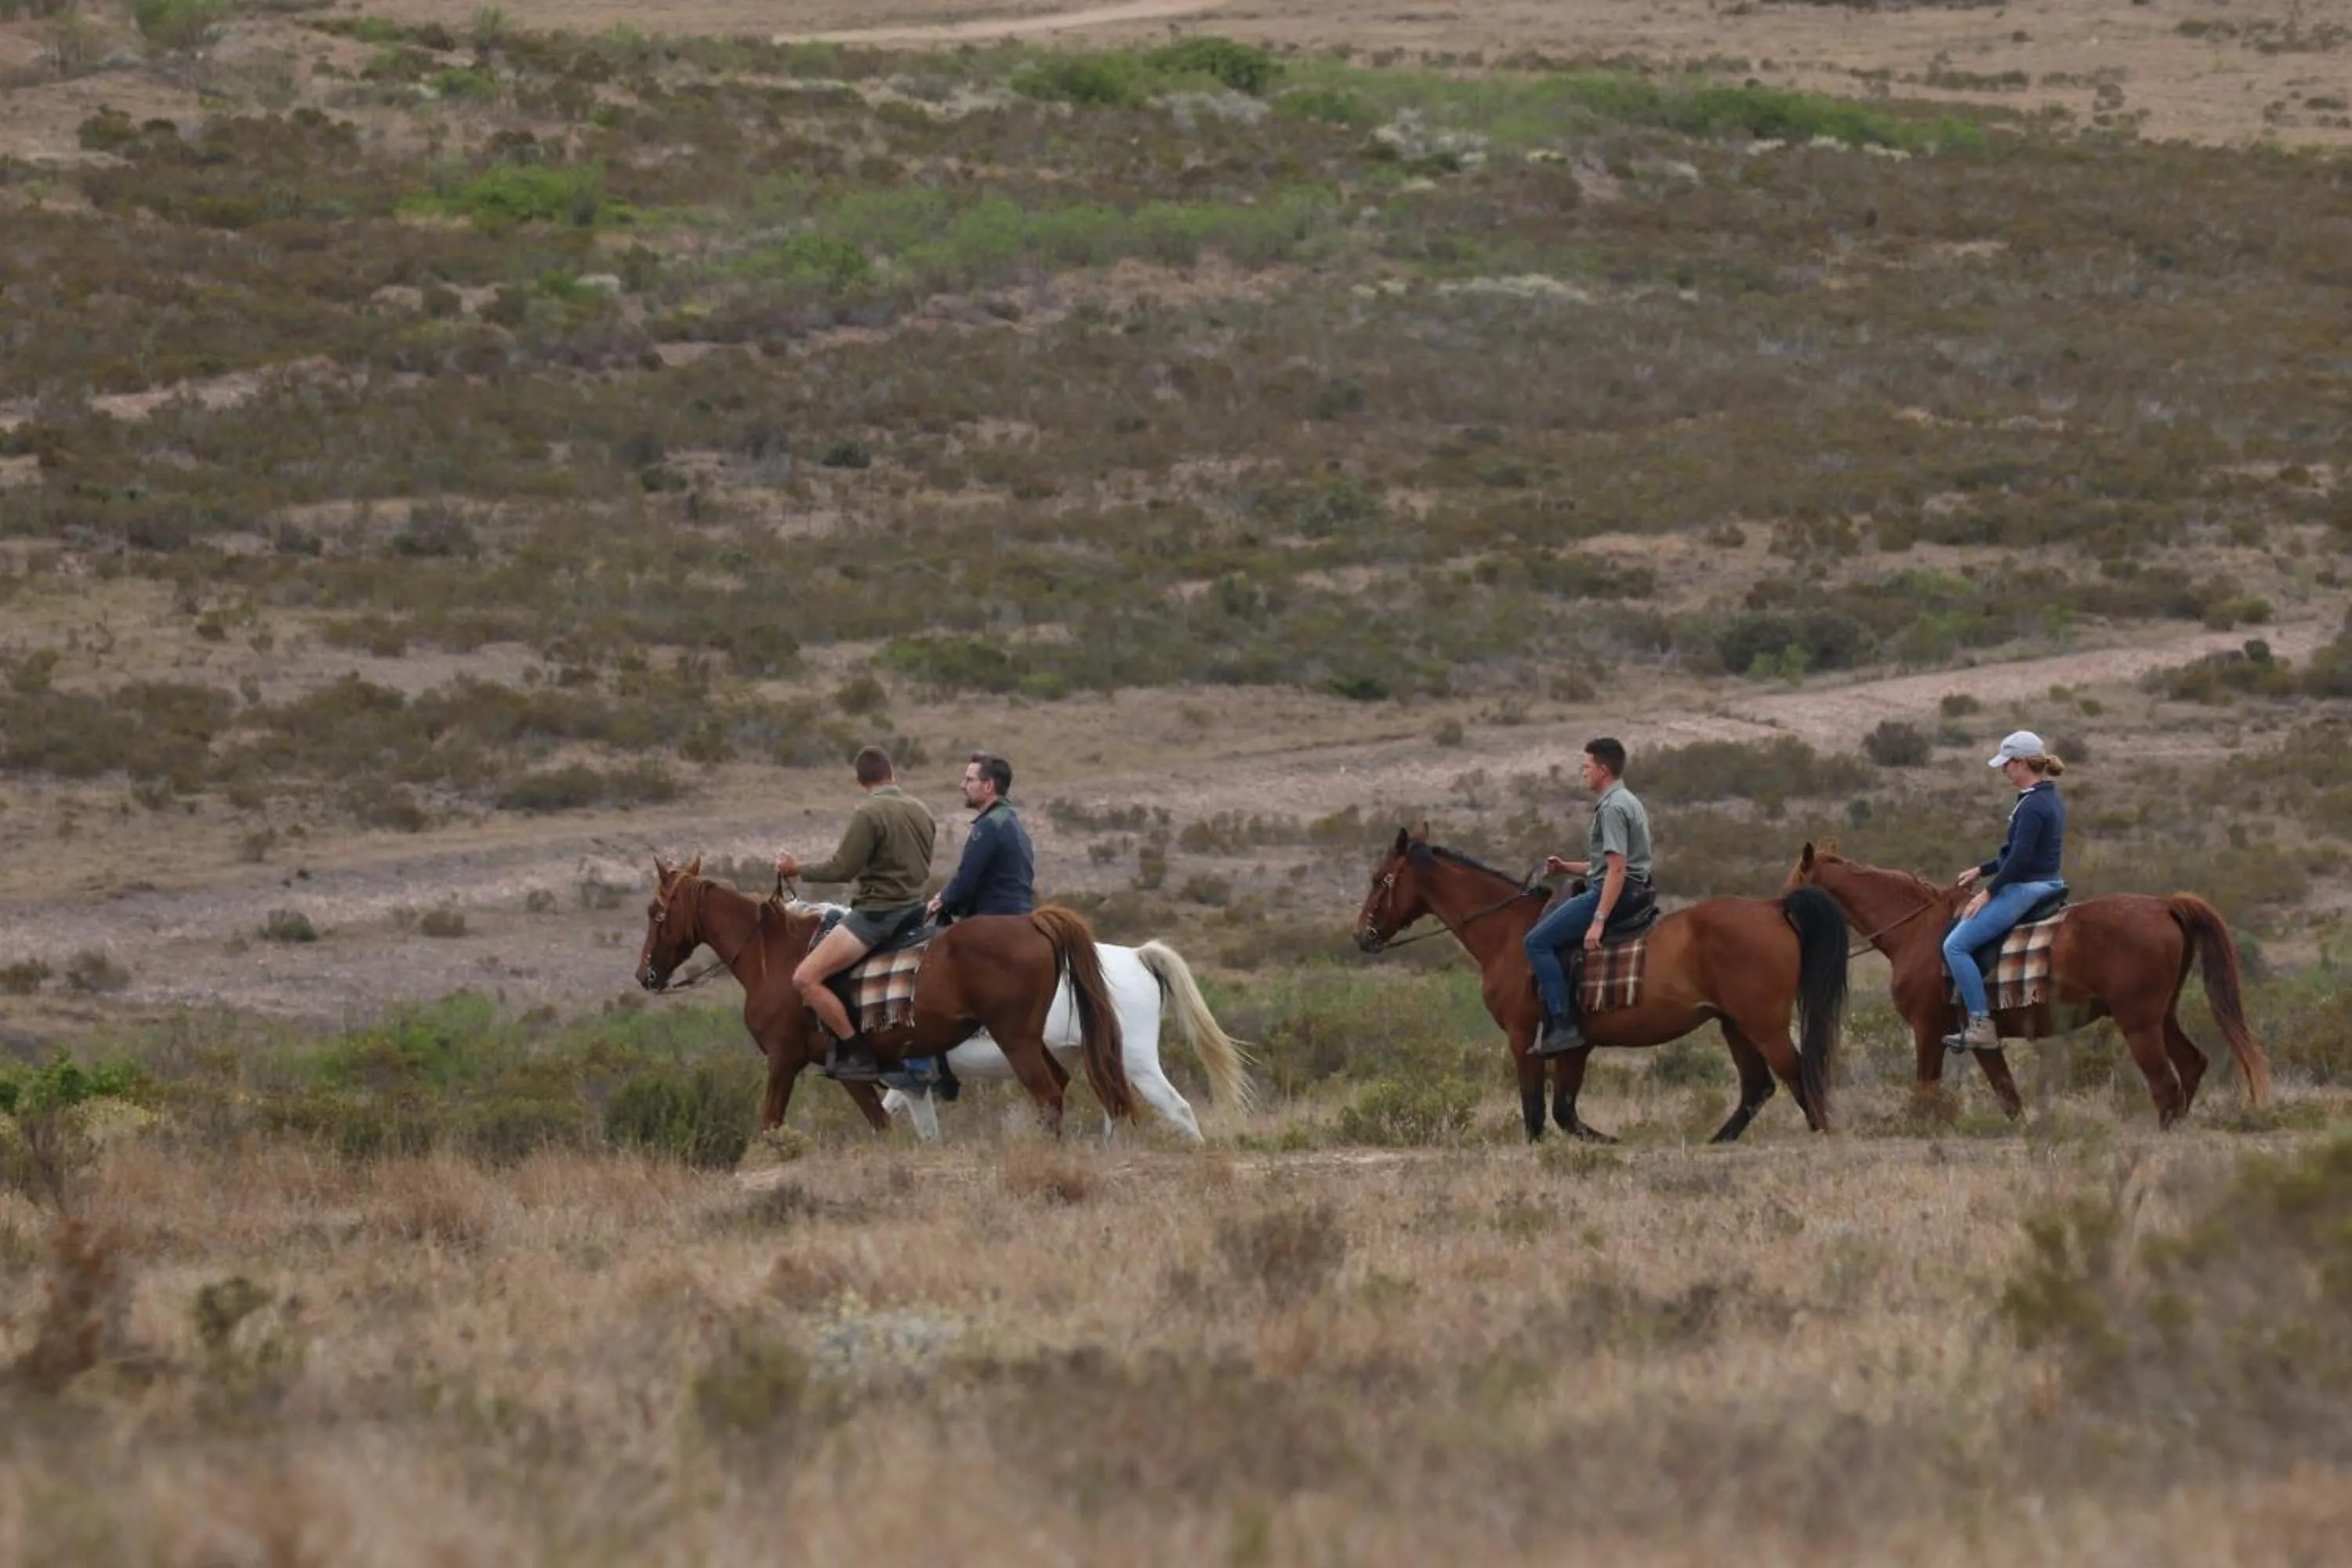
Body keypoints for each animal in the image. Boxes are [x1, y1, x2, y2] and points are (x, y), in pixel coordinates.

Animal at [635, 859, 1132, 1137]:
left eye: (656, 912)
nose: (645, 975)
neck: (773, 956)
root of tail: (1032, 922)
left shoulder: (783, 1060)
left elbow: (769, 1122)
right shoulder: (849, 1072)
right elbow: (881, 1124)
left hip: (1015, 1040)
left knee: (1048, 1095)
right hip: (1029, 1041)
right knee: (1060, 1088)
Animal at [1353, 827, 1849, 1143]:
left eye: (1380, 879)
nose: (1362, 935)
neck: (1509, 934)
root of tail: (1773, 907)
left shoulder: (1523, 1038)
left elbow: (1536, 1113)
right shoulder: (1575, 1046)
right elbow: (1564, 1111)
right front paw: (1609, 1141)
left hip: (1762, 1023)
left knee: (1798, 1075)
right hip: (1734, 1024)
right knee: (1758, 1087)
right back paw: (1720, 1140)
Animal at [1786, 841, 2271, 1127]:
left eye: (1794, 887)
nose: (1780, 917)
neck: (1916, 931)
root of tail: (2166, 906)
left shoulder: (1927, 1030)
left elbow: (1925, 1090)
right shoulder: (1977, 1038)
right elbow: (2008, 1096)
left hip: (2139, 1024)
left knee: (2166, 1086)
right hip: (2161, 1017)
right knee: (2191, 1066)